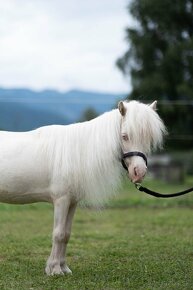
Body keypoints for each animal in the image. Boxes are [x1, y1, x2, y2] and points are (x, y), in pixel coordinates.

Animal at [0, 99, 166, 274]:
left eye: (148, 138)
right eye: (125, 136)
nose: (139, 172)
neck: (77, 152)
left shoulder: (72, 202)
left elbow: (66, 234)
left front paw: (64, 268)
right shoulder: (61, 200)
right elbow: (58, 234)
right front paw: (54, 269)